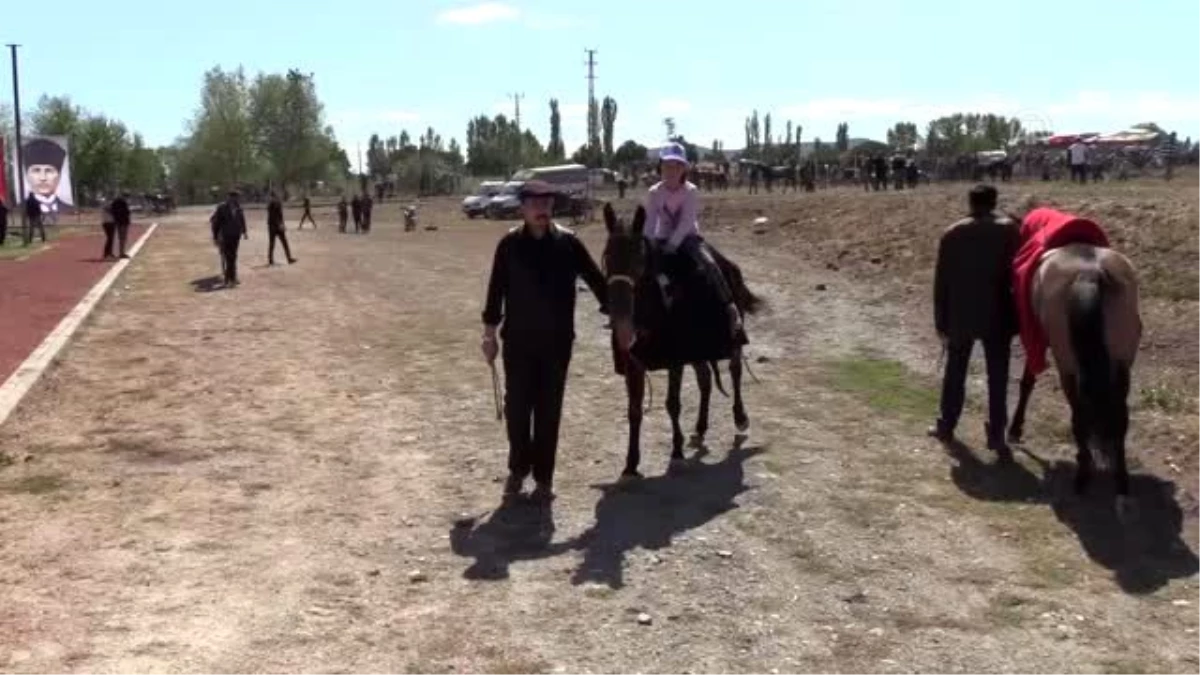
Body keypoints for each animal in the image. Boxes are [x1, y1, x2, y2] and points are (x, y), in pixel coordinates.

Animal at [600, 199, 768, 478]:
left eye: (639, 260)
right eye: (607, 258)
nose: (621, 321)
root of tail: (728, 265)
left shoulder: (675, 359)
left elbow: (673, 403)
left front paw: (676, 453)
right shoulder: (634, 362)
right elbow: (634, 410)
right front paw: (630, 464)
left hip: (730, 339)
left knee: (734, 371)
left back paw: (740, 417)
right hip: (697, 349)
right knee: (705, 379)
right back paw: (700, 427)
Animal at [1003, 243, 1142, 511]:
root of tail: (1091, 273)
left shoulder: (1038, 338)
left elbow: (1027, 381)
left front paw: (1015, 429)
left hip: (1068, 364)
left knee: (1079, 414)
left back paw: (1083, 475)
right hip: (1120, 366)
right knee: (1117, 418)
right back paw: (1120, 483)